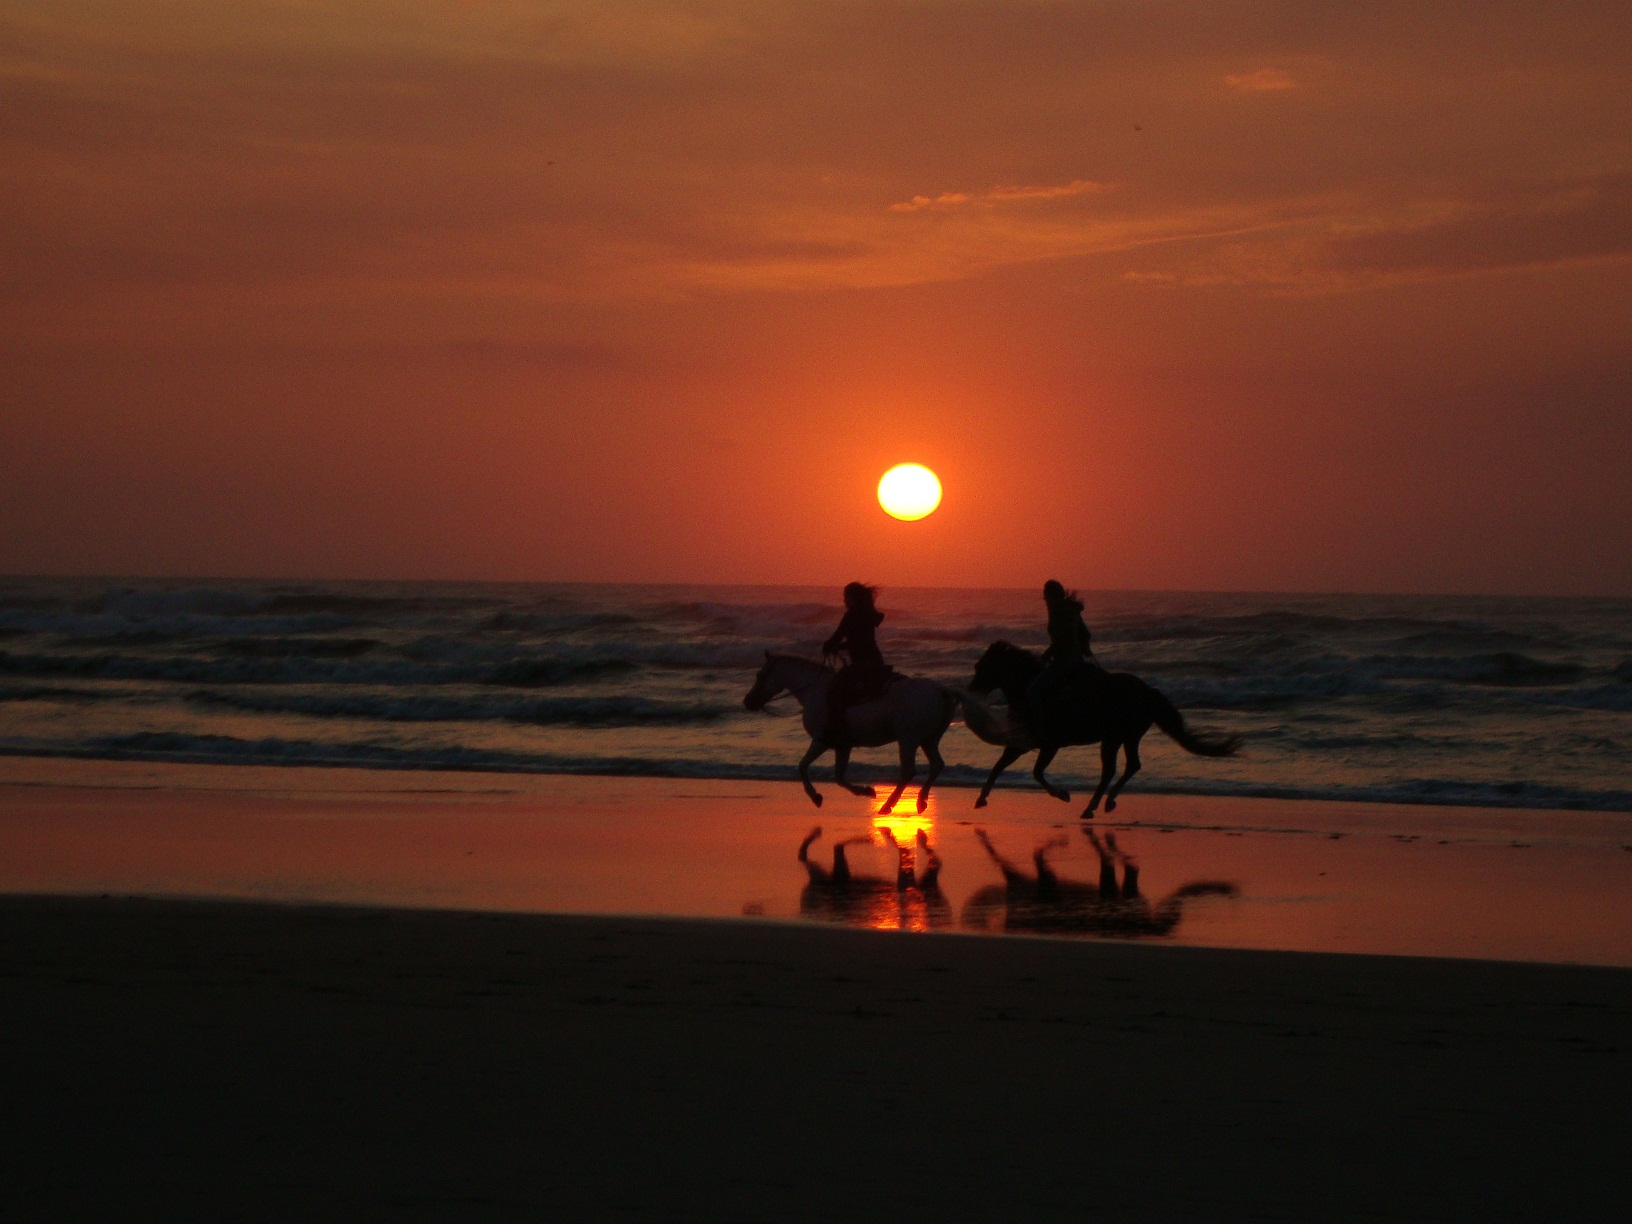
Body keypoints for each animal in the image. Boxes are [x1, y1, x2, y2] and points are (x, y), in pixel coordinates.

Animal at [743, 653, 963, 813]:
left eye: (760, 675)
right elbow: (839, 776)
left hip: (908, 740)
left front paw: (816, 797)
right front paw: (866, 791)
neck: (816, 691)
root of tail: (942, 691)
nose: (748, 701)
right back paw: (920, 801)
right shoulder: (843, 746)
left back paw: (887, 806)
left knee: (909, 771)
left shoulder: (821, 741)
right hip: (929, 739)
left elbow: (803, 766)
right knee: (936, 765)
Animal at [967, 640, 1240, 817]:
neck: (1030, 689)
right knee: (1130, 766)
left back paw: (1092, 807)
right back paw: (1106, 802)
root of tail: (1147, 691)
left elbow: (1036, 773)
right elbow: (999, 765)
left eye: (981, 667)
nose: (970, 690)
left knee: (1113, 769)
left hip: (1114, 738)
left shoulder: (1050, 744)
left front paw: (1063, 794)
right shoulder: (1024, 742)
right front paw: (981, 798)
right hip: (1126, 737)